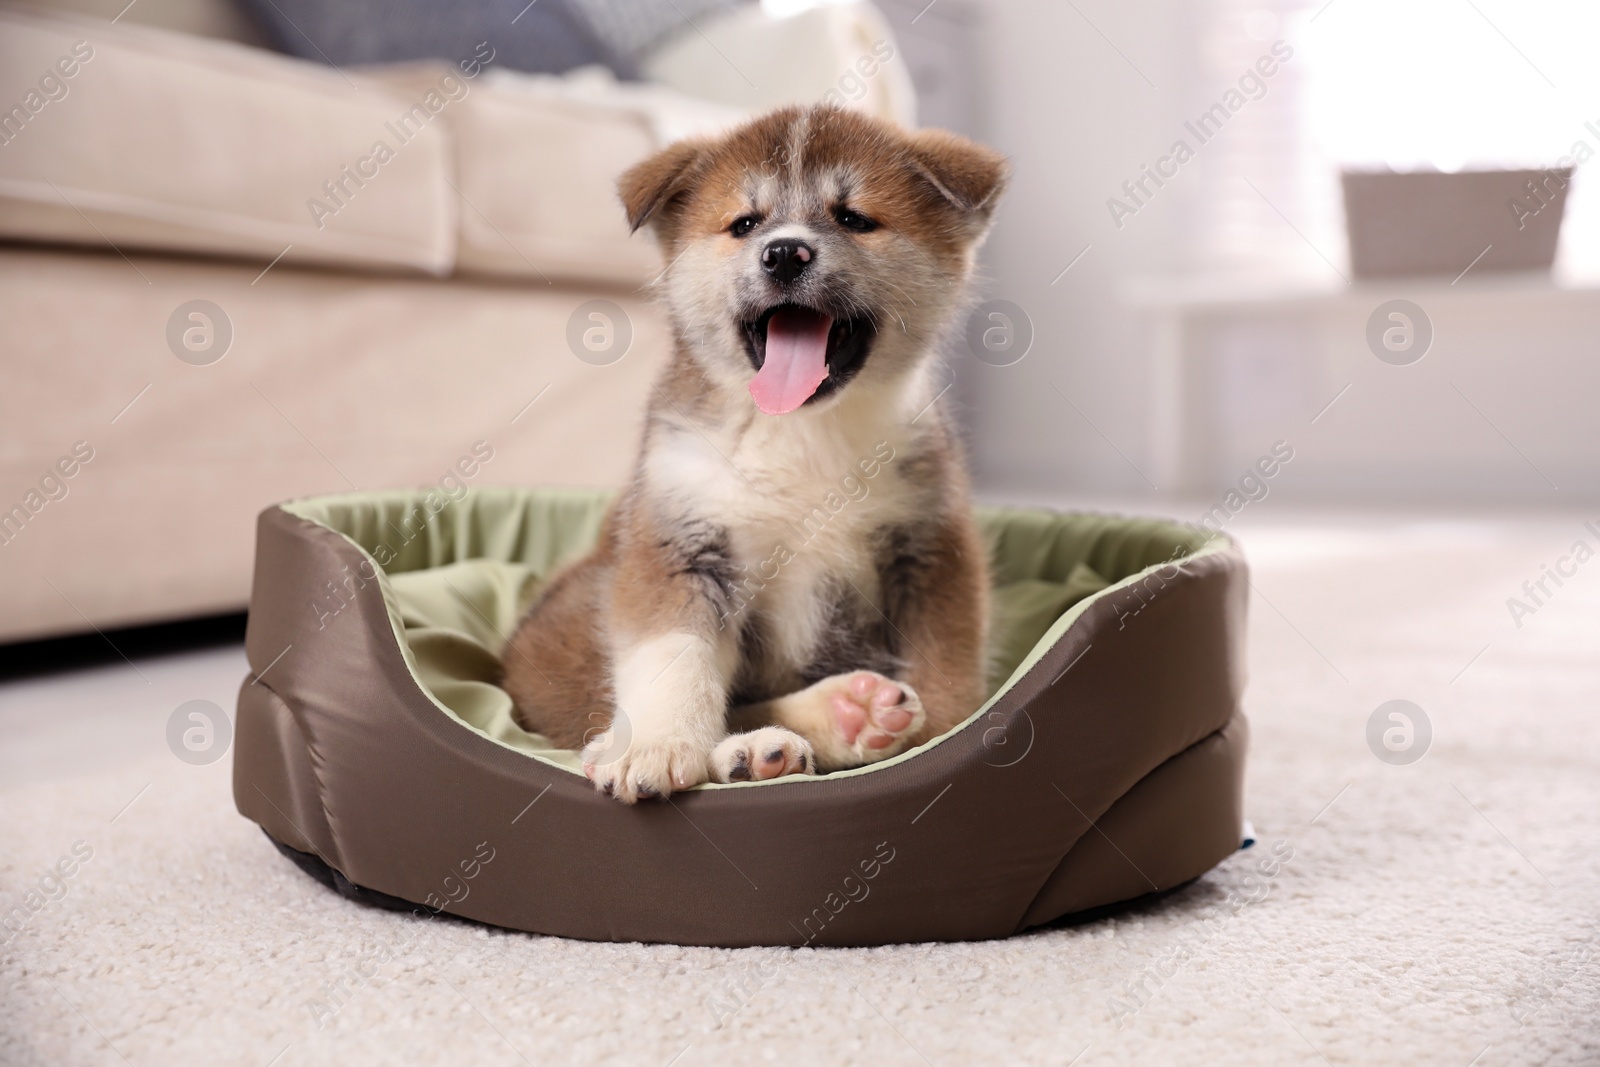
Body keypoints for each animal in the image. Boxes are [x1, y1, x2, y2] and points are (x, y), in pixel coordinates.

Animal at [499, 103, 1004, 806]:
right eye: (744, 223)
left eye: (853, 217)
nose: (785, 252)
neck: (801, 435)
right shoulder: (680, 543)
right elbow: (673, 659)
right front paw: (654, 746)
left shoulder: (929, 548)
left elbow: (944, 671)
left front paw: (943, 740)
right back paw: (775, 741)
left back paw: (825, 725)